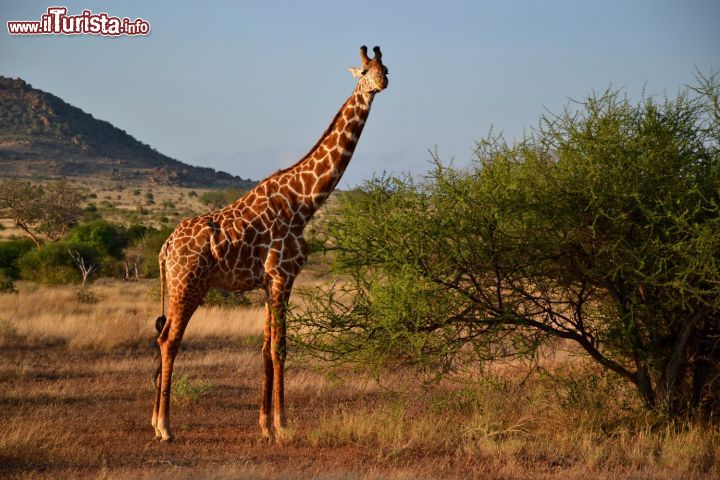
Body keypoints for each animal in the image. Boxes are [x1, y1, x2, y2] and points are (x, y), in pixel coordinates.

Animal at [150, 46, 388, 442]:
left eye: (386, 68)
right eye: (365, 71)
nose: (382, 83)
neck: (304, 201)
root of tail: (165, 249)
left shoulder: (267, 282)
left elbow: (264, 349)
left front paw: (264, 426)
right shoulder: (282, 276)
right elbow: (281, 348)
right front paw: (283, 425)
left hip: (181, 286)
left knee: (161, 337)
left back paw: (155, 422)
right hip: (189, 285)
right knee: (169, 341)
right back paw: (165, 428)